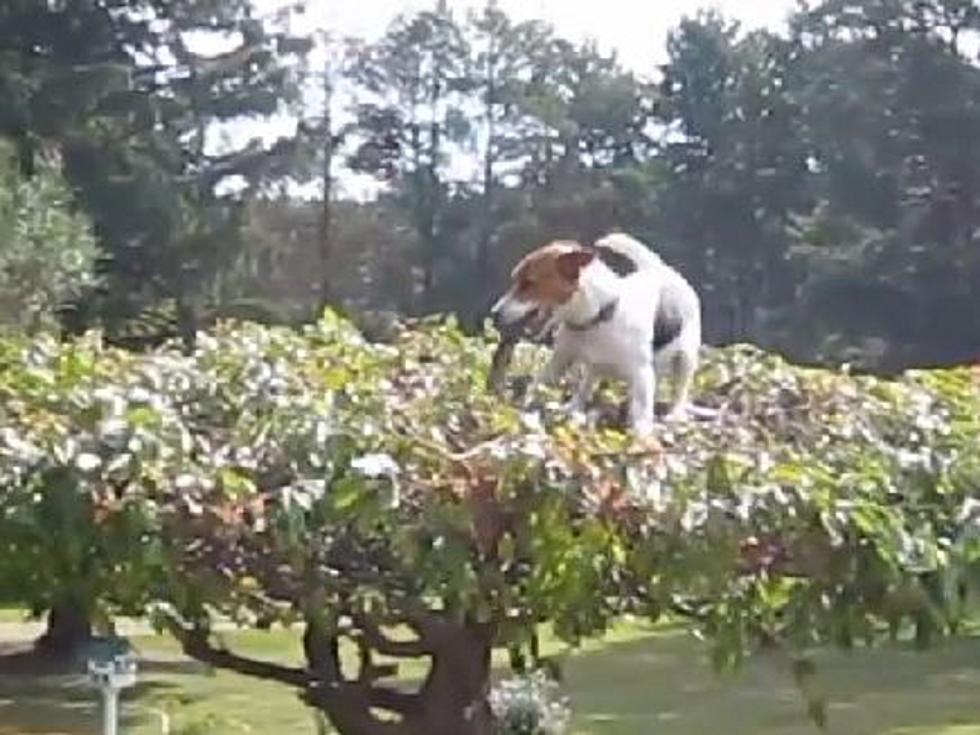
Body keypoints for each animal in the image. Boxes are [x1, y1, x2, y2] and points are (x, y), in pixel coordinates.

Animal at [494, 233, 700, 434]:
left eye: (528, 283)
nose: (495, 313)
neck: (598, 317)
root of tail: (659, 268)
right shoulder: (559, 361)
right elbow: (538, 385)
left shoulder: (642, 374)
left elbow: (642, 415)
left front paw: (642, 435)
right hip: (595, 369)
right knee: (585, 388)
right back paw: (574, 407)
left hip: (686, 358)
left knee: (681, 390)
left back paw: (675, 413)